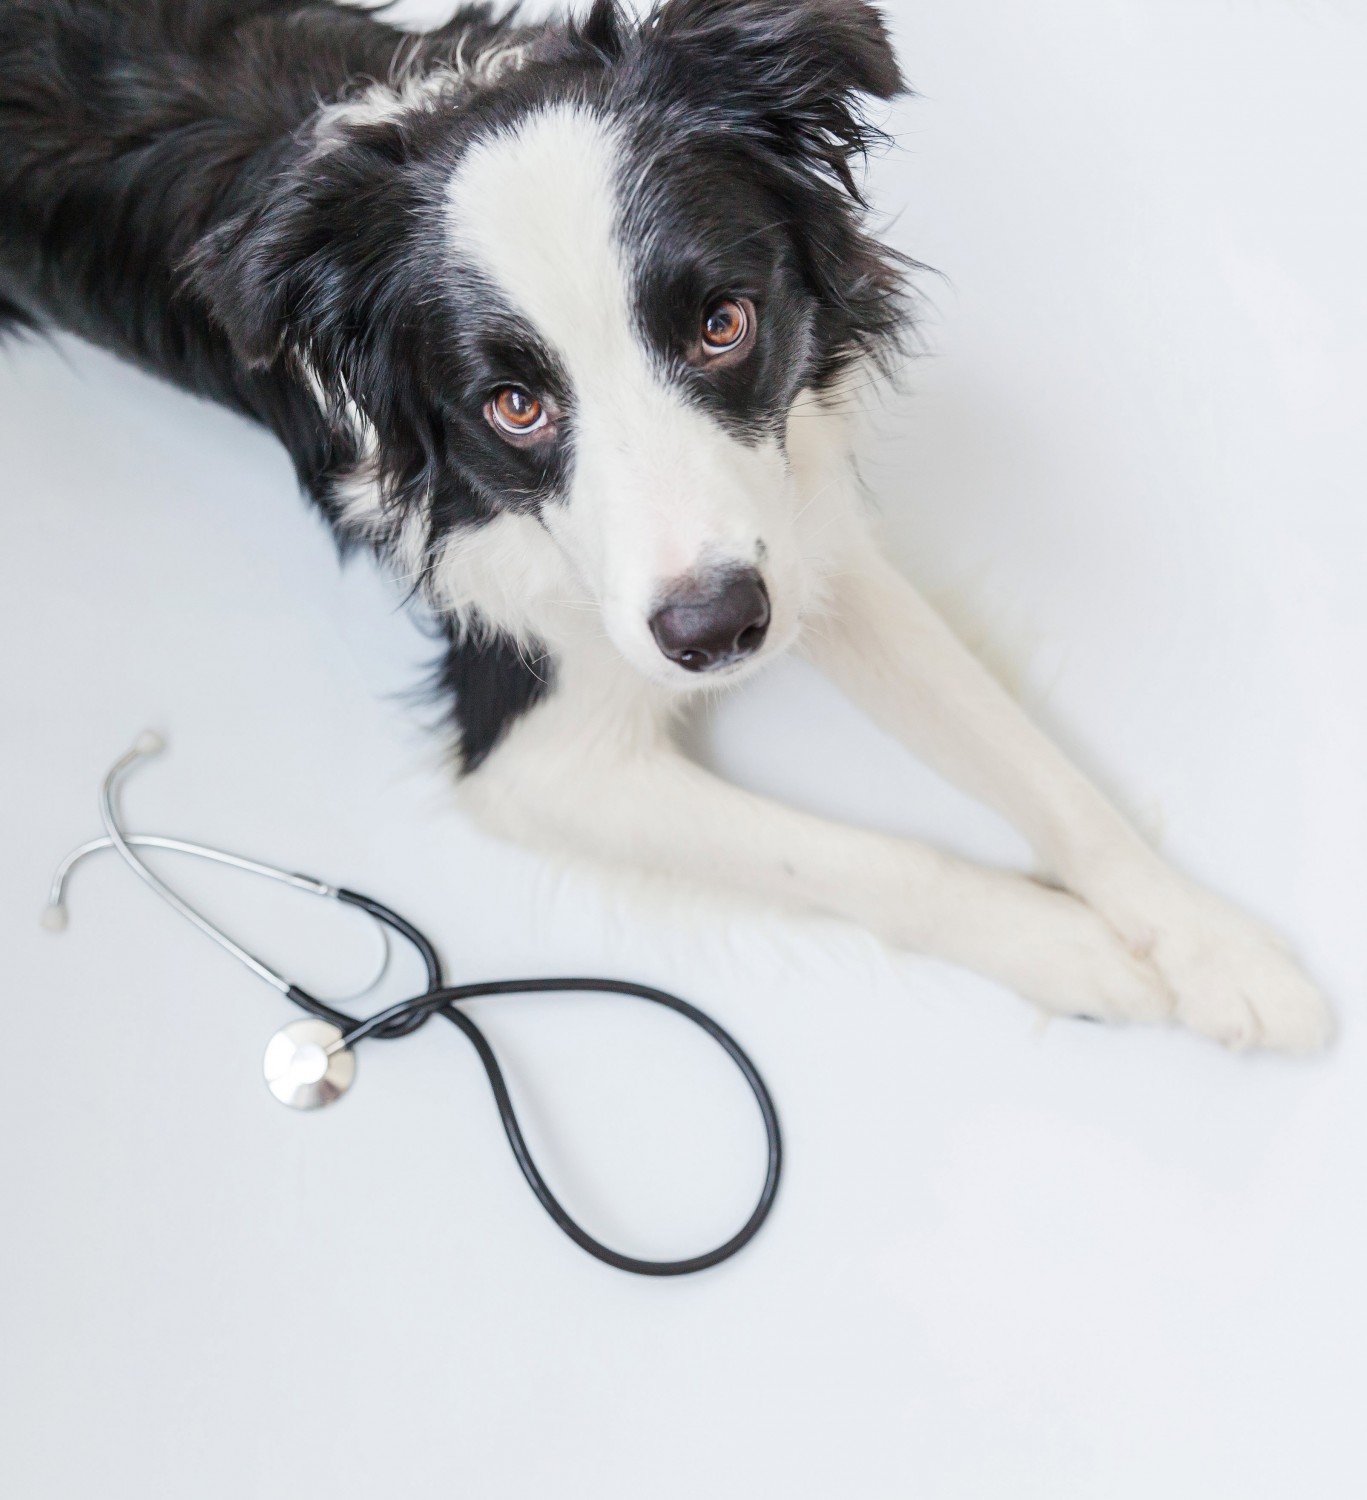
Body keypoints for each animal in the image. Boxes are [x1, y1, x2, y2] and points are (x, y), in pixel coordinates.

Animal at [2, 0, 1338, 1050]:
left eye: (721, 325)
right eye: (515, 406)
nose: (714, 635)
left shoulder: (795, 529)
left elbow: (1031, 762)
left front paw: (1213, 951)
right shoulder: (534, 742)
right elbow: (870, 854)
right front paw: (1071, 952)